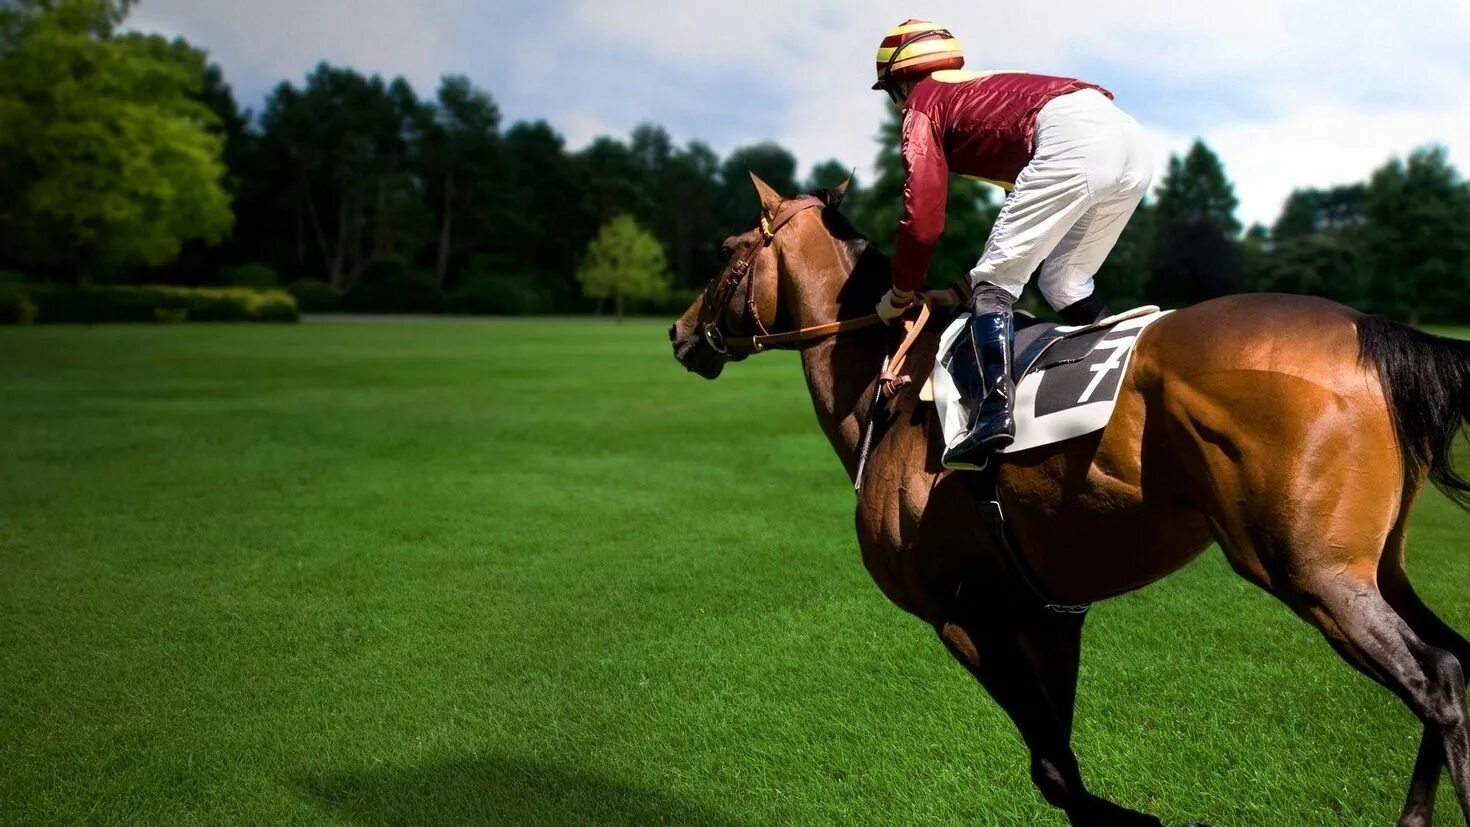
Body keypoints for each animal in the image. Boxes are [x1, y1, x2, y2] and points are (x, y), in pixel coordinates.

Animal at [673, 171, 1470, 822]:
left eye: (730, 250)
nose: (680, 333)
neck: (889, 387)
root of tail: (1370, 329)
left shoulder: (964, 613)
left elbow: (1053, 771)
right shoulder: (1048, 613)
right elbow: (1061, 762)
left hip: (1314, 573)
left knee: (1438, 679)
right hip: (1375, 567)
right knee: (1458, 656)